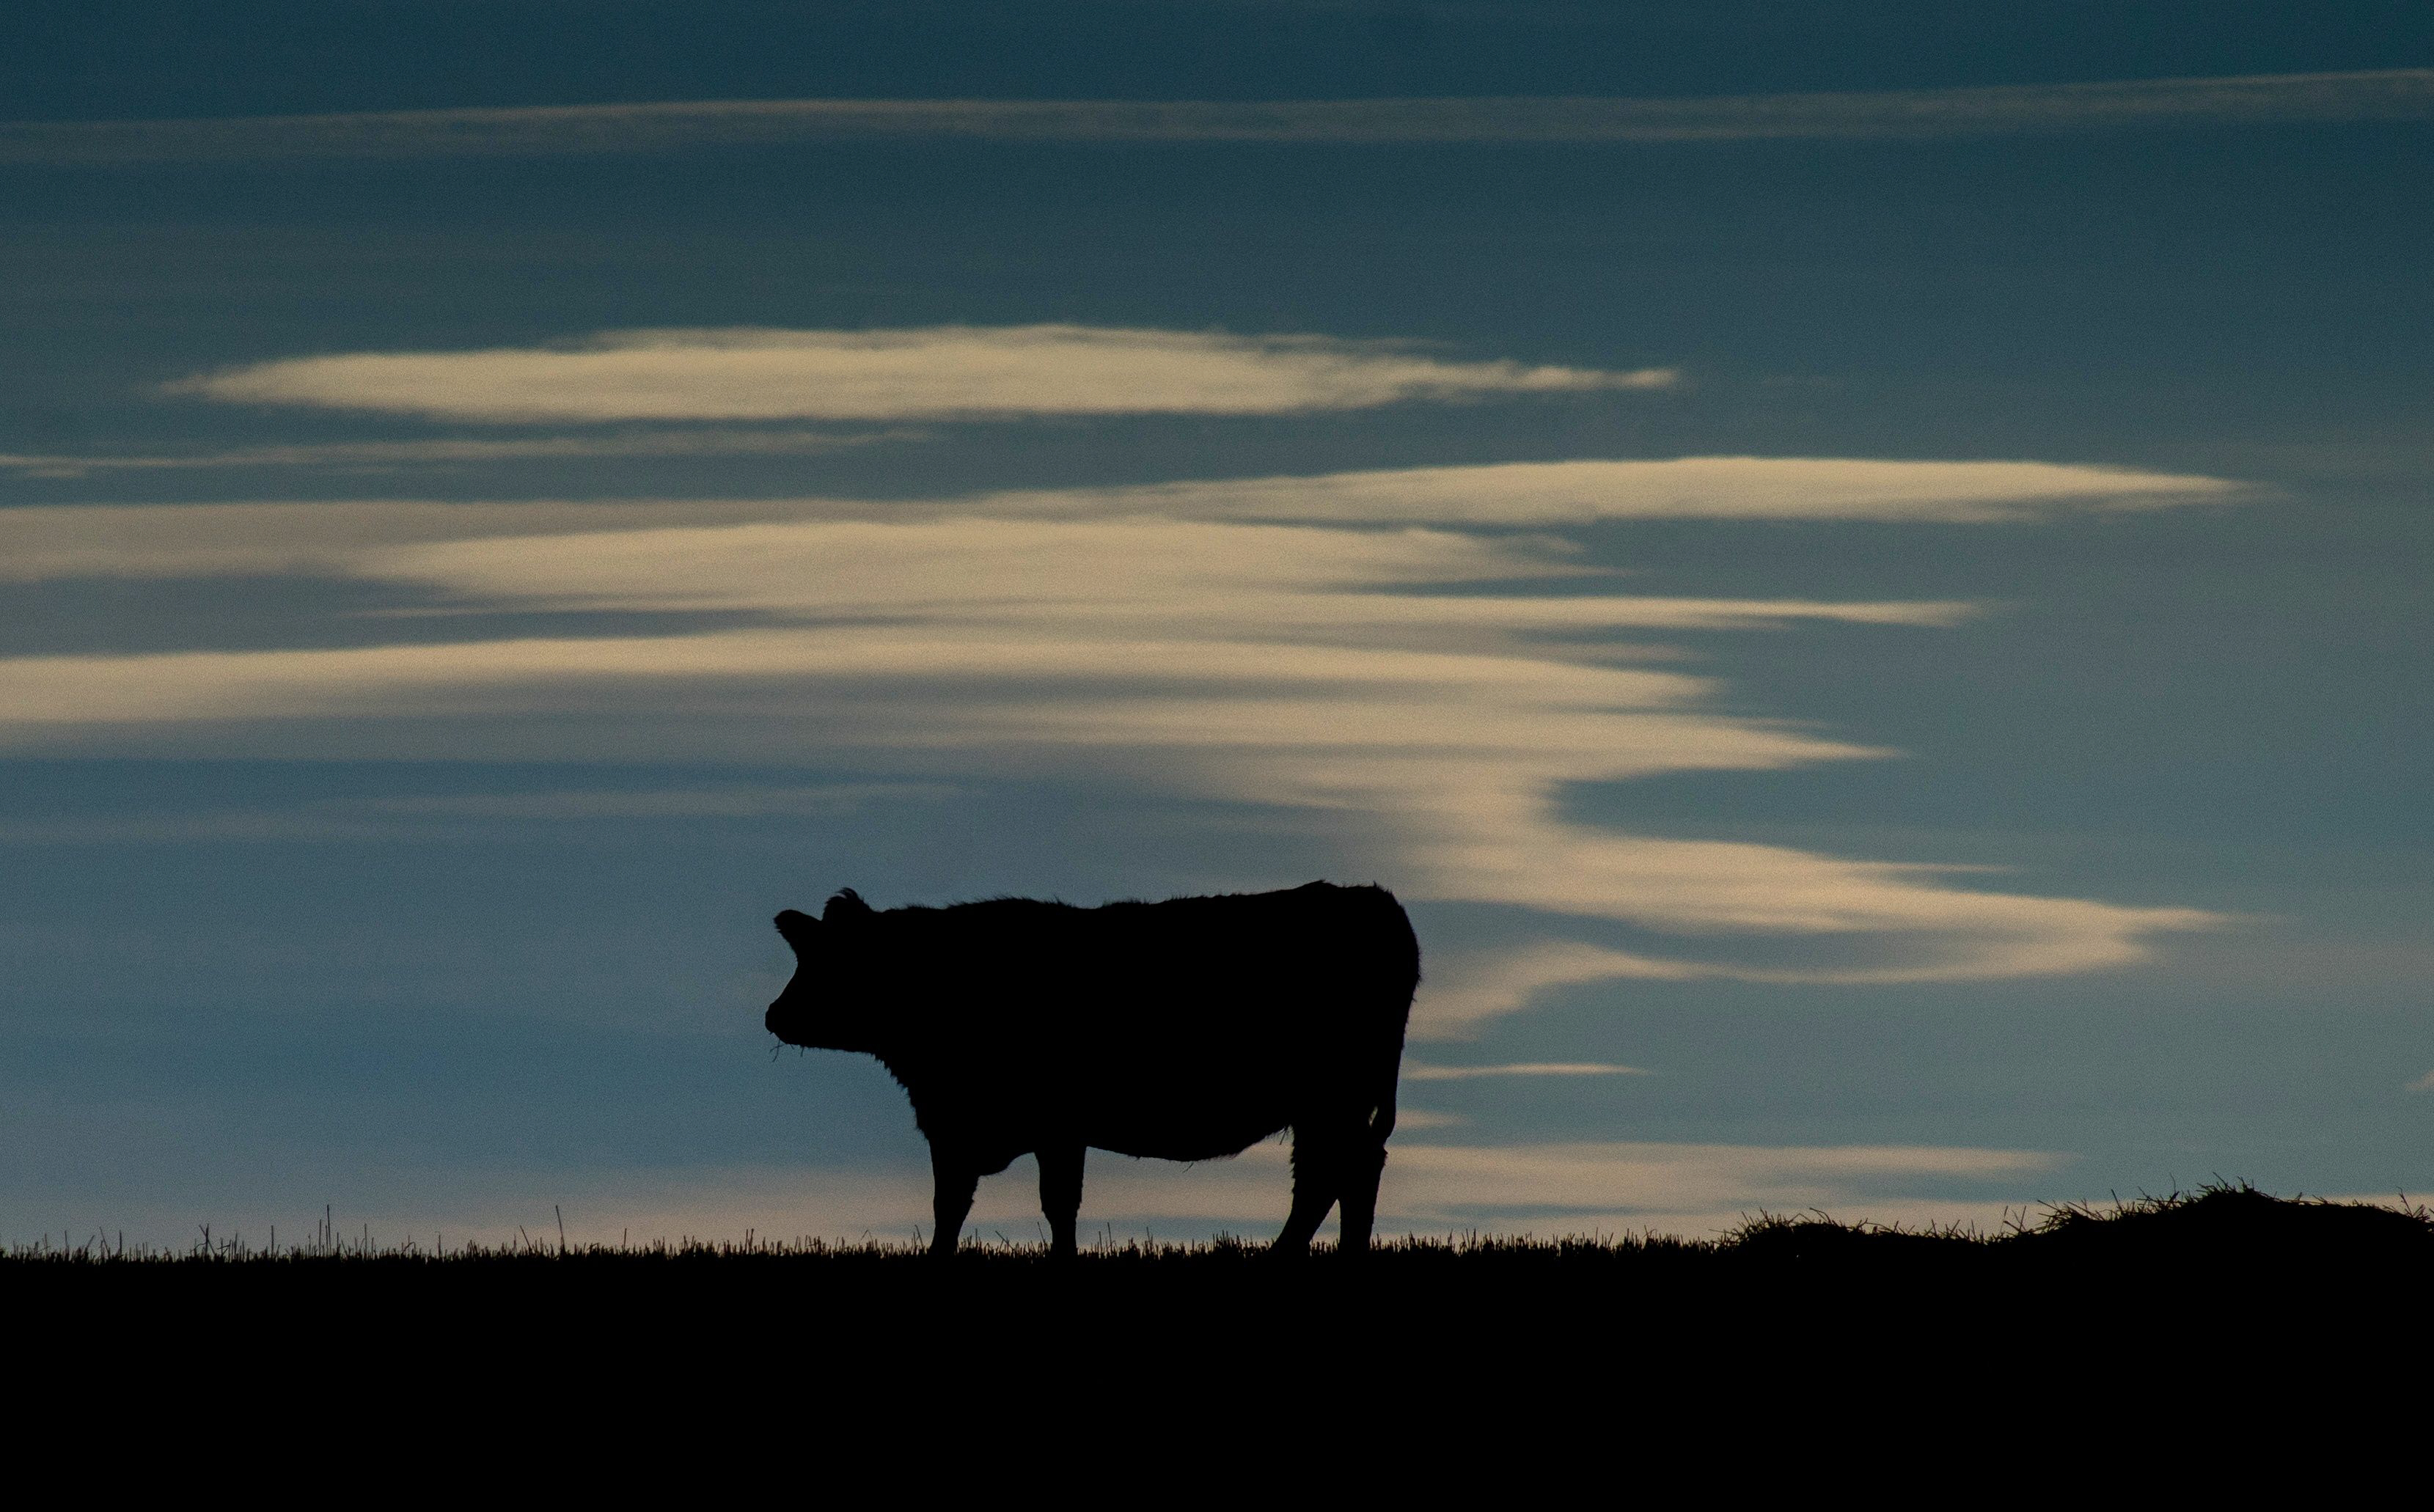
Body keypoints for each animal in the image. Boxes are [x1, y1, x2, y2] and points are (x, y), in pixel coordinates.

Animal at [764, 876, 1421, 1256]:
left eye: (823, 960)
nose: (774, 1016)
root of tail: (1374, 900)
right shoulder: (960, 1126)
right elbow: (955, 1204)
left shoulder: (1043, 1127)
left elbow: (1051, 1202)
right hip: (1331, 1104)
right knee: (1345, 1171)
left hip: (1331, 1098)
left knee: (1331, 1174)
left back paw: (1288, 1257)